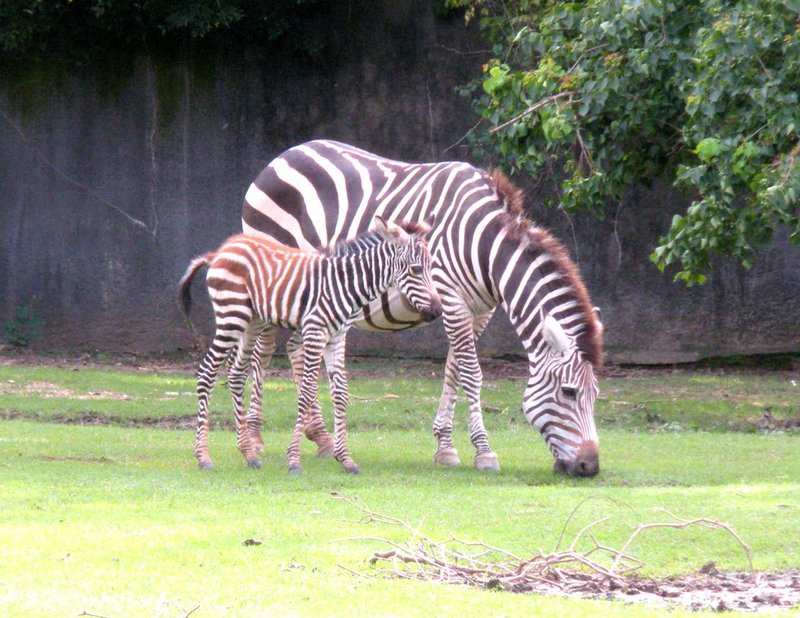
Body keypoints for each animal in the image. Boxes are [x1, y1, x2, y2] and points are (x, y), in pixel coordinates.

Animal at [178, 215, 440, 472]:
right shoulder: (315, 332)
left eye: (431, 268)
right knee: (207, 372)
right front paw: (294, 460)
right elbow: (306, 392)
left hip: (252, 321)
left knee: (236, 373)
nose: (437, 311)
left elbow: (341, 392)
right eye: (416, 269)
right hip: (231, 316)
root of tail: (220, 251)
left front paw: (346, 459)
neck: (346, 284)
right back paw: (203, 457)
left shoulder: (337, 338)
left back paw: (249, 454)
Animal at [241, 141, 604, 476]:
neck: (484, 247)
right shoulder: (448, 295)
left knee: (295, 348)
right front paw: (484, 451)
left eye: (595, 395)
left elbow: (453, 369)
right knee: (263, 350)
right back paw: (256, 438)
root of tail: (285, 154)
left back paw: (321, 437)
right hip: (271, 278)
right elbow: (472, 373)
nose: (590, 466)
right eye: (569, 393)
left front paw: (444, 446)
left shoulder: (480, 310)